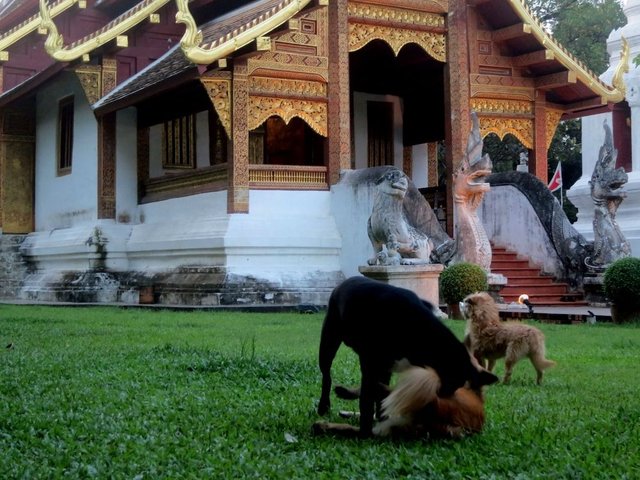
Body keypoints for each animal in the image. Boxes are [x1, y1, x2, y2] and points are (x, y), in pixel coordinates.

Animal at [318, 276, 498, 436]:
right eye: (452, 383)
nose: (440, 400)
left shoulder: (386, 369)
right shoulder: (370, 366)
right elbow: (367, 400)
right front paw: (365, 428)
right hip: (329, 342)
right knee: (327, 376)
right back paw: (324, 406)